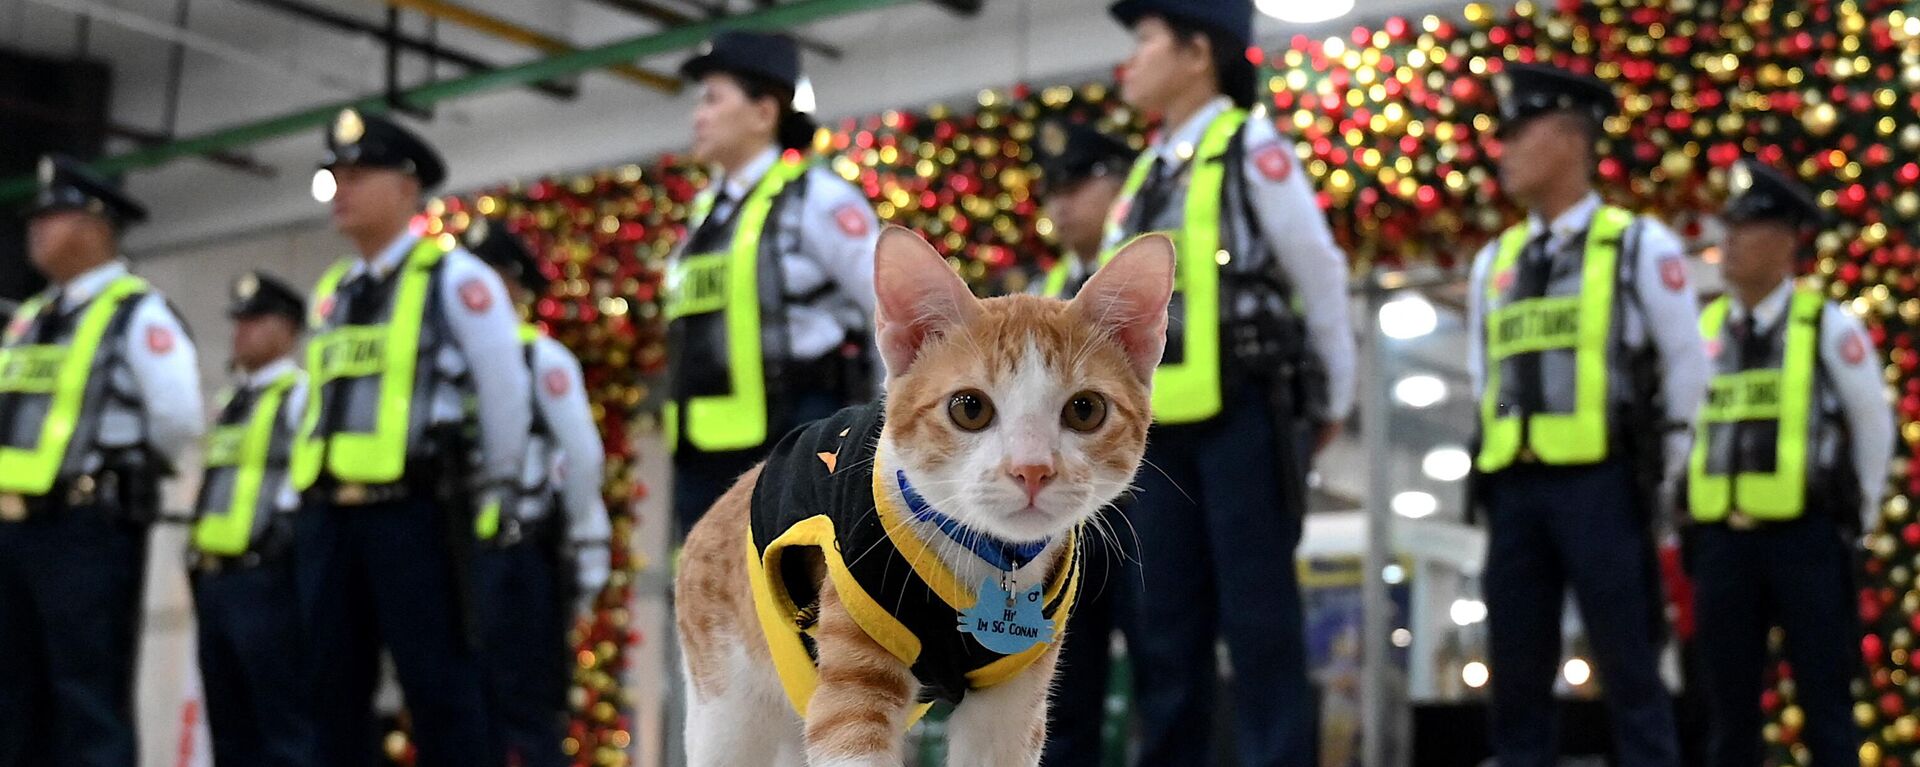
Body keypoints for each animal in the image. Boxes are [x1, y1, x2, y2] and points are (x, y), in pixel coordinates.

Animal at [675, 228, 1167, 767]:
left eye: (1085, 410)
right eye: (969, 408)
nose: (1032, 469)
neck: (993, 560)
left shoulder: (1011, 699)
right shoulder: (852, 674)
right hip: (728, 706)